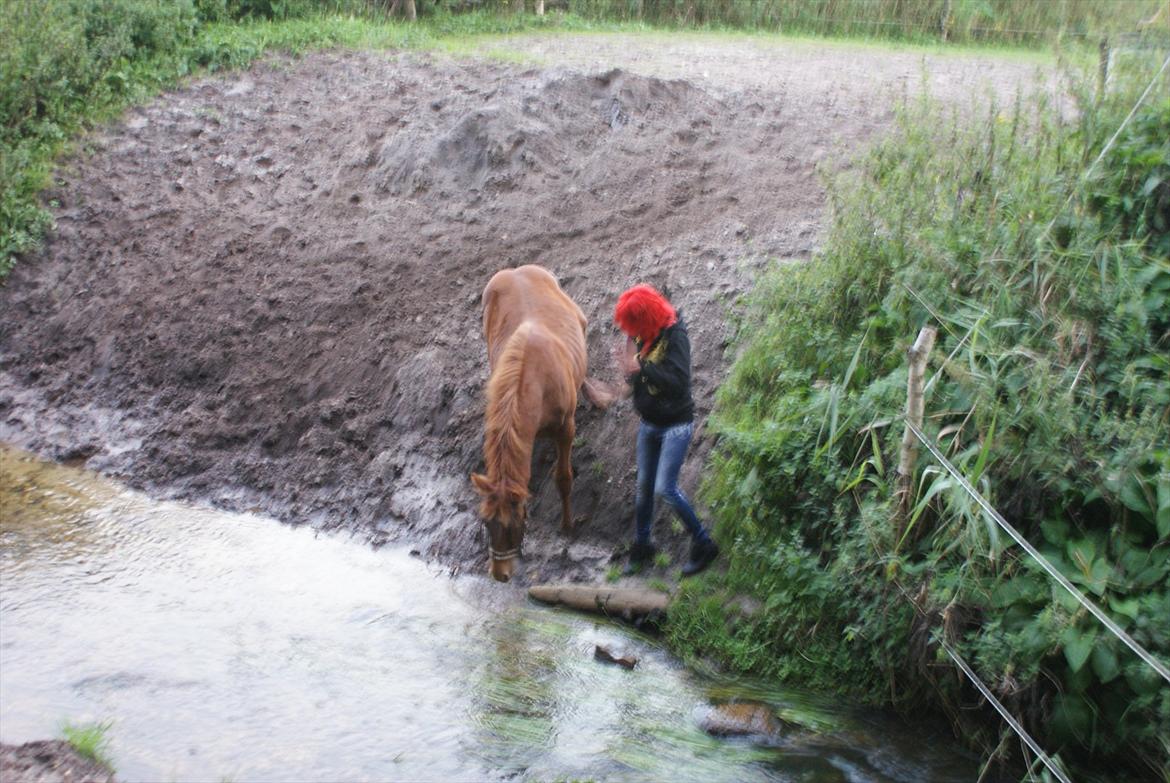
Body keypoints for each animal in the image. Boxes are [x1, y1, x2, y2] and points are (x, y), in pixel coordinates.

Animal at [467, 266, 608, 580]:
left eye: (512, 525)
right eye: (486, 522)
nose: (500, 574)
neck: (533, 382)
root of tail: (517, 270)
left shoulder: (566, 427)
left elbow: (564, 478)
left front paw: (567, 525)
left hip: (578, 318)